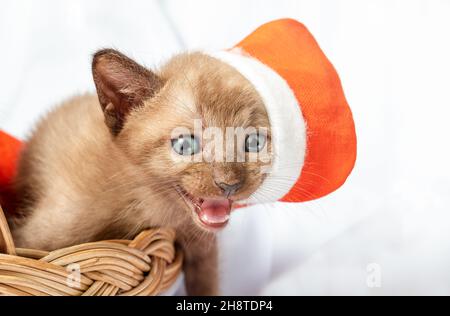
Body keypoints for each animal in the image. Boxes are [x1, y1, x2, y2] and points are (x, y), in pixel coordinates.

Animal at [9, 49, 270, 296]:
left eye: (253, 142)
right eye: (185, 145)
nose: (229, 184)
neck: (146, 206)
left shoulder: (201, 247)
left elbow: (206, 285)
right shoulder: (35, 241)